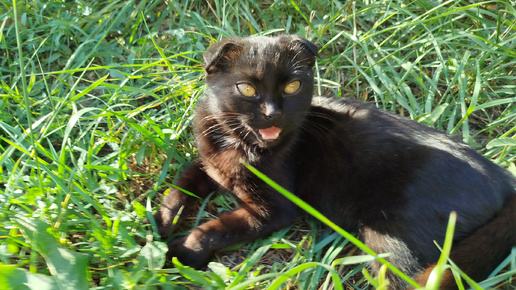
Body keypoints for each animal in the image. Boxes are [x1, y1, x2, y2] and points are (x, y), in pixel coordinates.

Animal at [154, 35, 516, 288]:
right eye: (245, 88)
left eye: (293, 85)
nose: (273, 113)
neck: (236, 144)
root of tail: (503, 178)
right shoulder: (209, 164)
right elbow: (180, 187)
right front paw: (161, 222)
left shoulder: (274, 210)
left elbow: (216, 228)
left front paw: (180, 252)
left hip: (392, 236)